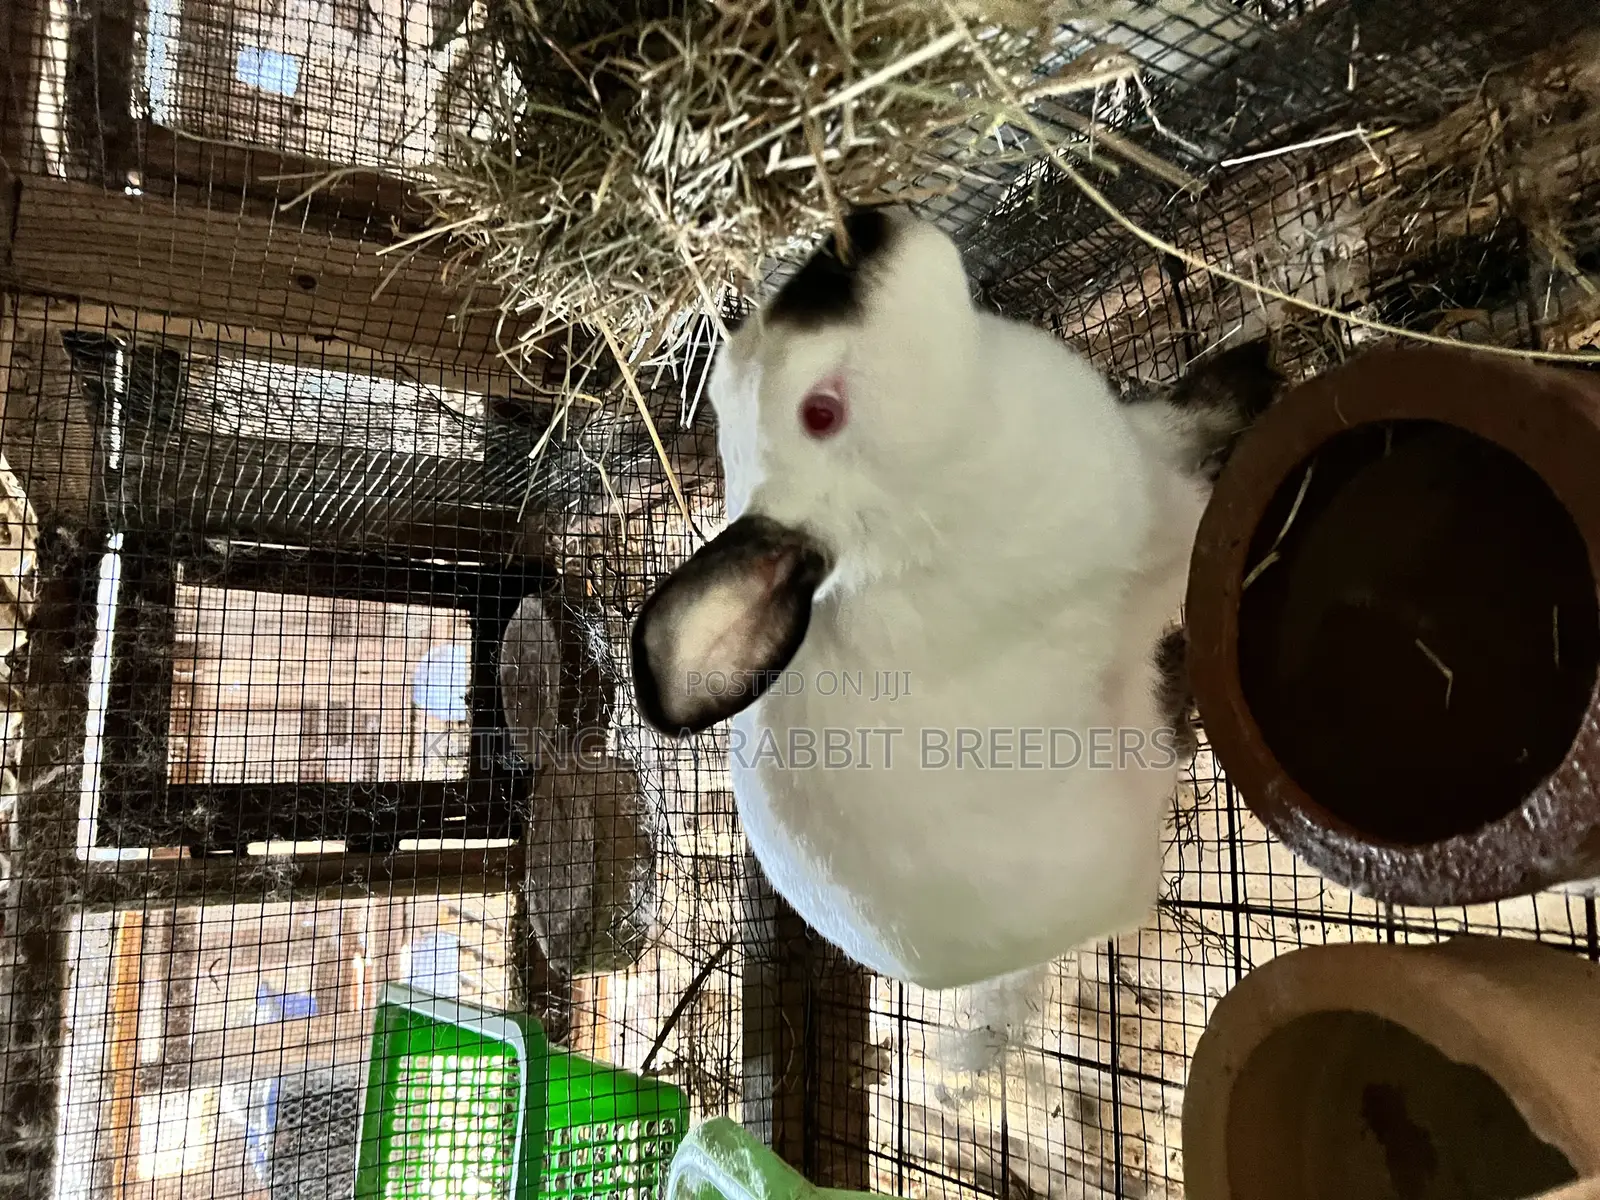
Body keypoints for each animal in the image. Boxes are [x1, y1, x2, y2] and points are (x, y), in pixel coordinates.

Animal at [631, 205, 1278, 994]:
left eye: (724, 379)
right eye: (822, 413)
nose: (860, 229)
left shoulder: (1148, 437)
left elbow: (1187, 413)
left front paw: (1247, 369)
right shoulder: (1158, 538)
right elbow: (1203, 510)